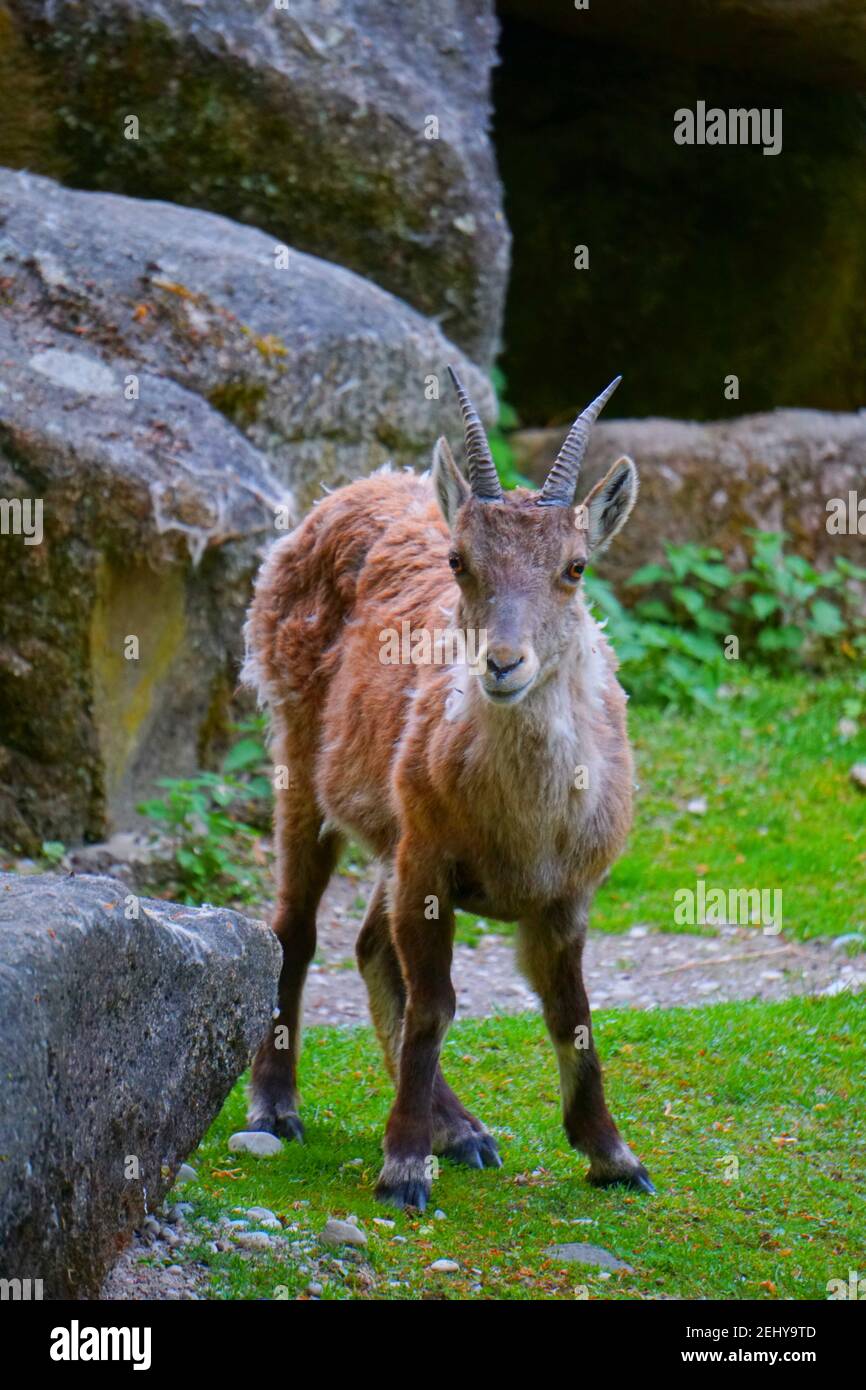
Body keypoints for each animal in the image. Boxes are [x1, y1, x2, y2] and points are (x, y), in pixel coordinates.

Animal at [243, 368, 653, 1208]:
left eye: (576, 566)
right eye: (460, 560)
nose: (502, 664)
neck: (527, 832)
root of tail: (351, 489)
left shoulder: (567, 893)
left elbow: (571, 1012)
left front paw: (613, 1155)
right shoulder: (428, 868)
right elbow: (435, 1006)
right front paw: (401, 1167)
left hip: (391, 834)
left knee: (370, 946)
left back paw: (460, 1129)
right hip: (298, 756)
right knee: (297, 930)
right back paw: (278, 1107)